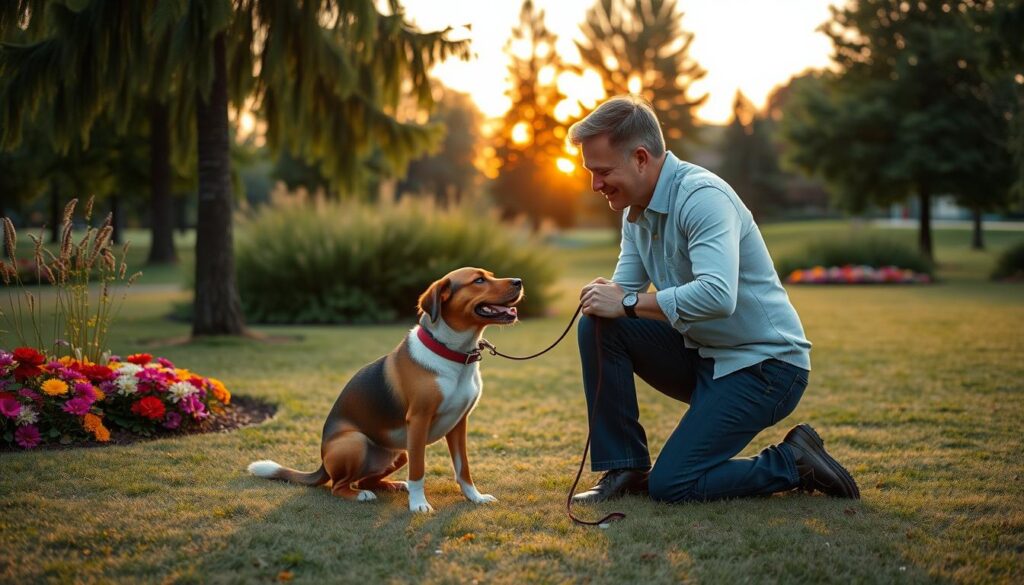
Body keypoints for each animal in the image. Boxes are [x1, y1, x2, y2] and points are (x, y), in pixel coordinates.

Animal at [245, 266, 520, 512]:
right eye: (478, 280)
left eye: (491, 275)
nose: (519, 281)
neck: (452, 353)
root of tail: (322, 463)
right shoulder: (418, 422)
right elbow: (418, 471)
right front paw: (418, 504)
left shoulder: (459, 424)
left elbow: (463, 469)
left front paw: (475, 497)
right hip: (356, 442)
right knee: (339, 486)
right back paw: (360, 495)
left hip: (400, 453)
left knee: (366, 479)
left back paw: (393, 485)